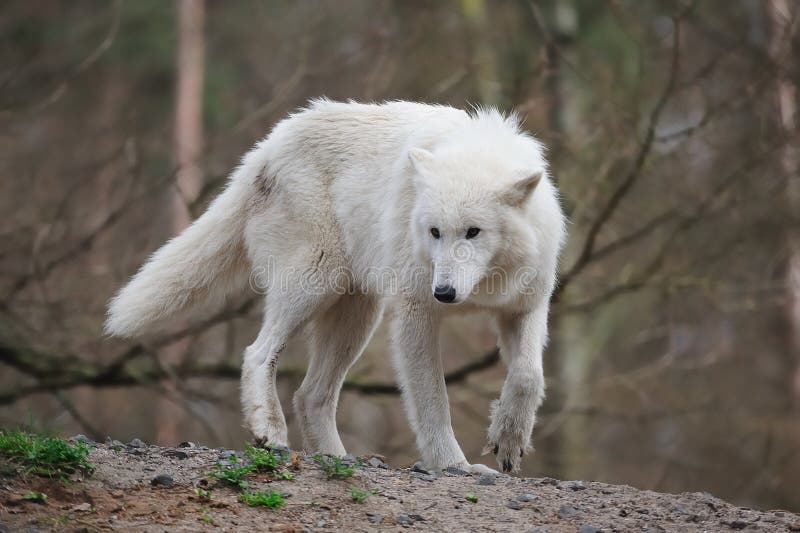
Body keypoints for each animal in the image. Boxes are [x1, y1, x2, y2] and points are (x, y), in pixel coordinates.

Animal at [106, 97, 564, 472]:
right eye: (435, 232)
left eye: (473, 232)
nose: (445, 293)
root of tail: (266, 146)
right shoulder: (416, 313)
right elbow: (433, 400)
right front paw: (455, 466)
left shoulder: (526, 305)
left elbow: (528, 375)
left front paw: (509, 440)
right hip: (315, 283)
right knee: (258, 353)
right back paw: (270, 430)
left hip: (357, 315)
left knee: (309, 394)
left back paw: (336, 458)